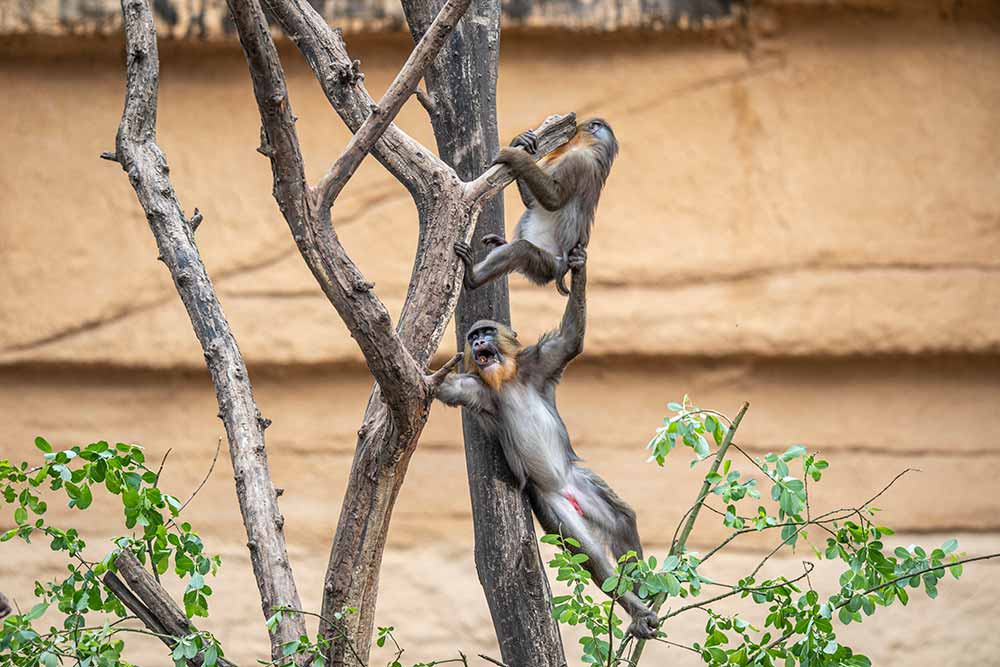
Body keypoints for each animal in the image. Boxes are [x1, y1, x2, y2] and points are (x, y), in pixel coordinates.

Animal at [428, 248, 656, 640]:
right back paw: (637, 609)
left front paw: (578, 267)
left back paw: (642, 594)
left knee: (622, 519)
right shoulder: (474, 389)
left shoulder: (540, 362)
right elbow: (443, 386)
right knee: (588, 552)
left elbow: (571, 338)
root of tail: (565, 489)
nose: (477, 343)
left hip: (582, 484)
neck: (505, 379)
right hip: (551, 504)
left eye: (486, 332)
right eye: (473, 336)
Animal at [456, 117, 616, 298]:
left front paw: (516, 156)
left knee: (522, 249)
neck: (591, 147)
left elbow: (553, 199)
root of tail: (562, 271)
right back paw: (499, 244)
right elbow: (532, 202)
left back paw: (472, 277)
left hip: (549, 264)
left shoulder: (577, 161)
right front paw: (520, 141)